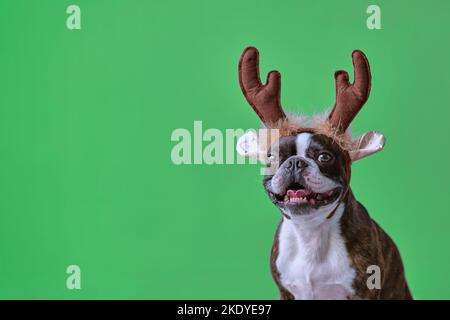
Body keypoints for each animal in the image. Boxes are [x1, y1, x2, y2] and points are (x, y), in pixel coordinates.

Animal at [237, 47, 414, 300]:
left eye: (324, 157)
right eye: (272, 158)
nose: (295, 163)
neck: (310, 233)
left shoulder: (365, 291)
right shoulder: (285, 291)